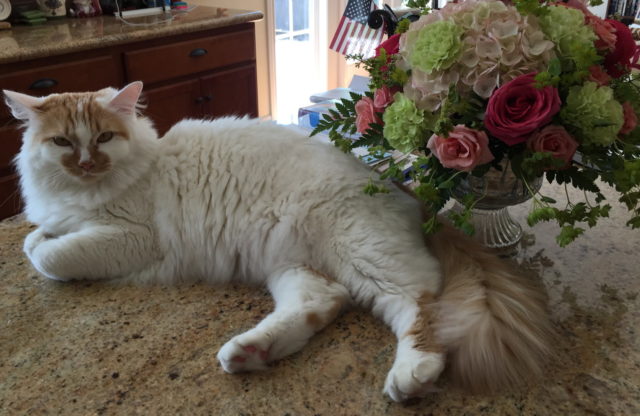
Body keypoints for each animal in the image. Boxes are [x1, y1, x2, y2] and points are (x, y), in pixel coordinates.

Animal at [2, 81, 552, 400]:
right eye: (62, 143)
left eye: (104, 138)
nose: (86, 164)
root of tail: (398, 186)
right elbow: (39, 235)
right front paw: (43, 228)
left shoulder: (133, 237)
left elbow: (48, 256)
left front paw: (45, 247)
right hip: (292, 265)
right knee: (323, 303)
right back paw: (249, 353)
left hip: (366, 256)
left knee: (423, 307)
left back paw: (410, 377)